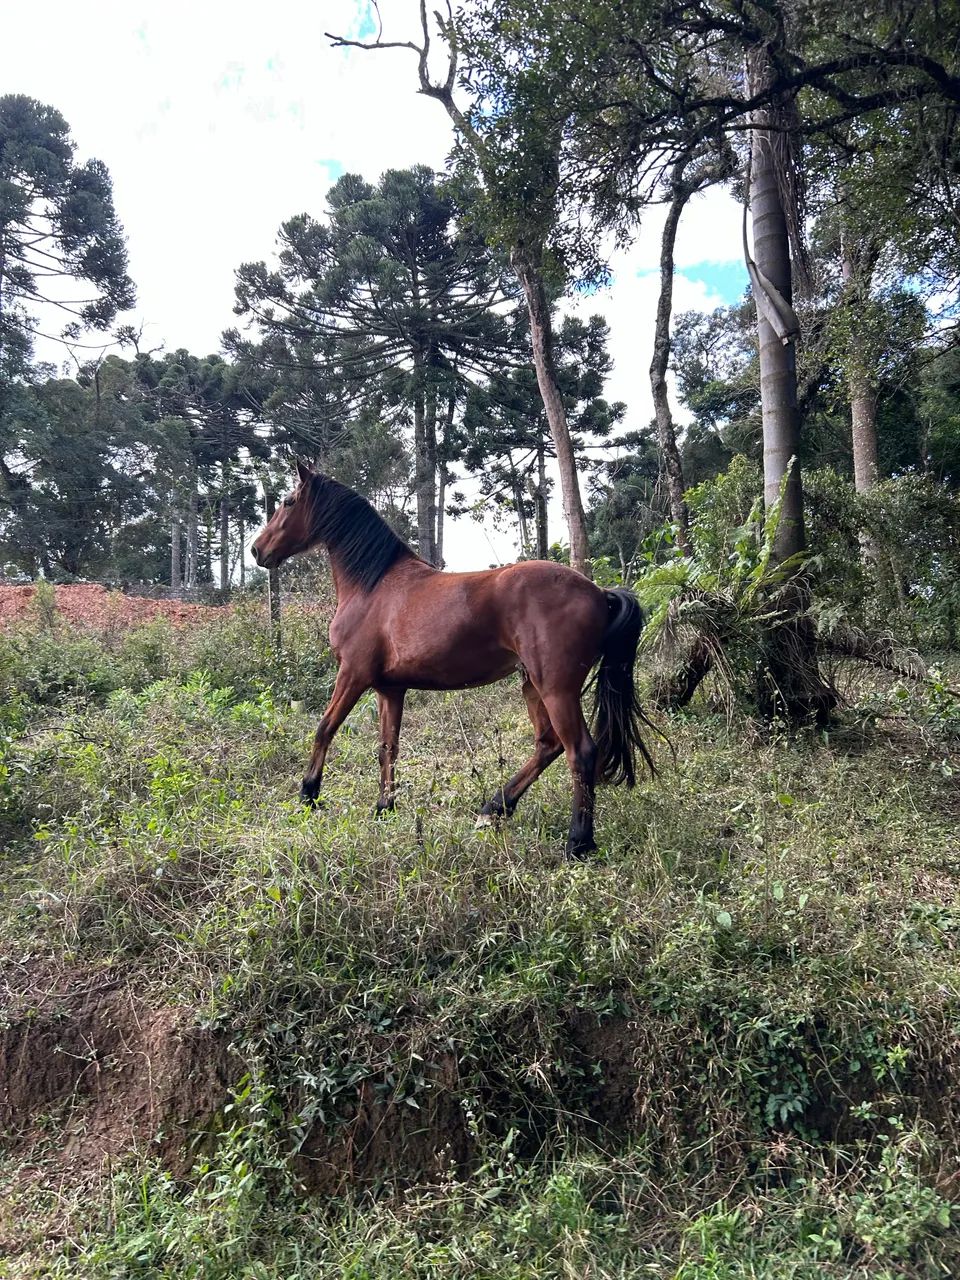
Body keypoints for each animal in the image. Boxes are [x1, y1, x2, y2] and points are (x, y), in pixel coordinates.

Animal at [252, 461, 654, 856]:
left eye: (287, 502)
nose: (257, 551)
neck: (373, 587)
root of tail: (599, 592)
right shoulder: (389, 690)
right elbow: (387, 748)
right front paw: (384, 807)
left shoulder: (352, 675)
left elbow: (324, 729)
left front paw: (309, 795)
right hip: (533, 686)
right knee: (548, 744)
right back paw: (494, 809)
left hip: (556, 689)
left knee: (580, 752)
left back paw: (578, 841)